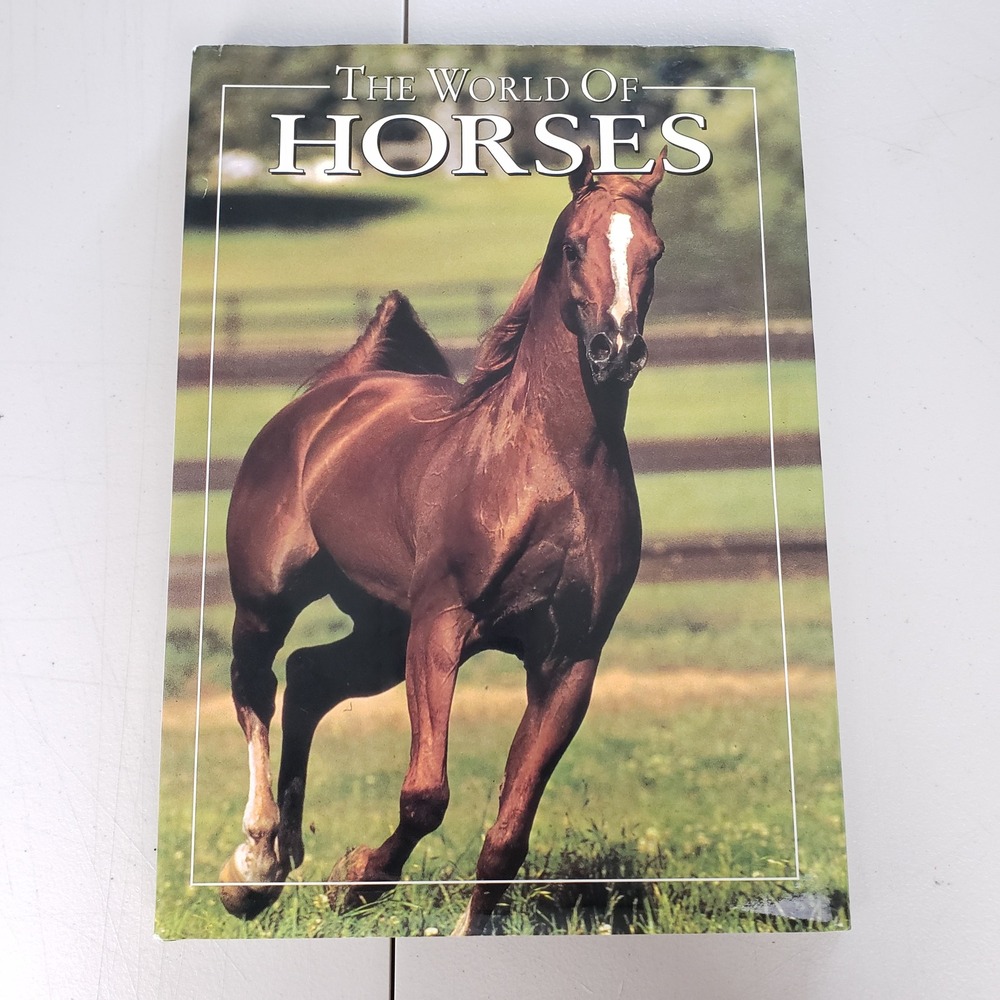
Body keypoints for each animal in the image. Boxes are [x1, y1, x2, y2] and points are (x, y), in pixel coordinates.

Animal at [217, 148, 666, 935]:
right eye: (572, 246)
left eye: (655, 251)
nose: (616, 351)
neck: (552, 469)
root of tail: (332, 398)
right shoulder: (440, 626)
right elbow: (426, 794)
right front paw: (357, 882)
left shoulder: (570, 660)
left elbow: (510, 830)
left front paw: (463, 923)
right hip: (268, 599)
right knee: (255, 689)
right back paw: (255, 866)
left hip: (377, 630)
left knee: (309, 677)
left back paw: (290, 857)